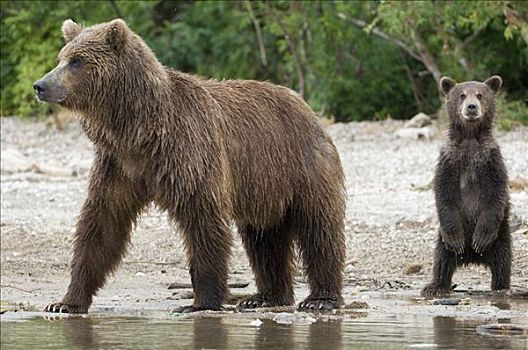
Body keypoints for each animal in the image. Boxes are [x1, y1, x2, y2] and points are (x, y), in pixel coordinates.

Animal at [34, 19, 346, 314]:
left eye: (77, 61)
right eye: (62, 57)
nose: (40, 85)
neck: (138, 130)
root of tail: (306, 107)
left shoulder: (189, 151)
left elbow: (203, 221)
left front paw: (200, 301)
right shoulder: (119, 164)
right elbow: (102, 224)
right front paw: (66, 302)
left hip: (302, 166)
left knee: (319, 229)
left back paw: (320, 298)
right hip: (264, 186)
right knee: (264, 238)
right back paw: (265, 297)